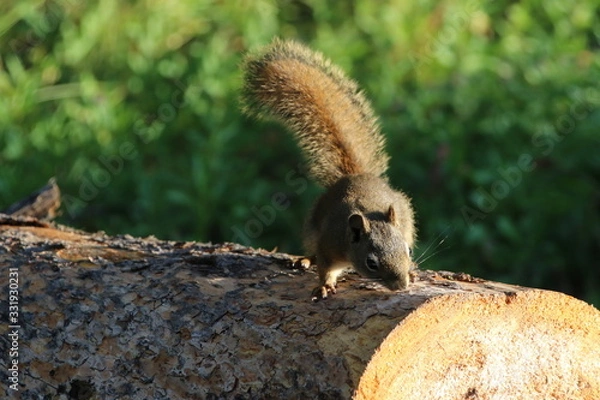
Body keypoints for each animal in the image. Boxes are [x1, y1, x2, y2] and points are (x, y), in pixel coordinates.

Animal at [241, 39, 414, 298]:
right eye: (372, 263)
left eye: (407, 251)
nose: (401, 286)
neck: (348, 241)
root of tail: (354, 175)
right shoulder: (328, 244)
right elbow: (325, 267)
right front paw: (324, 285)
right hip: (312, 226)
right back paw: (305, 259)